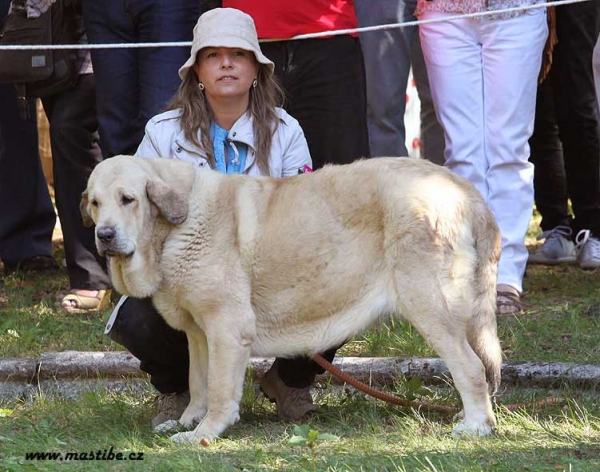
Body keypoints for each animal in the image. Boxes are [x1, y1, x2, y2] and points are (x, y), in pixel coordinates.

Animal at [79, 155, 502, 442]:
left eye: (128, 199)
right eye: (96, 203)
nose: (105, 235)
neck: (170, 231)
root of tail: (466, 191)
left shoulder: (226, 329)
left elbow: (219, 389)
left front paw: (205, 433)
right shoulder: (199, 334)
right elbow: (198, 383)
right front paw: (186, 421)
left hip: (431, 306)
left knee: (471, 367)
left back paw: (475, 426)